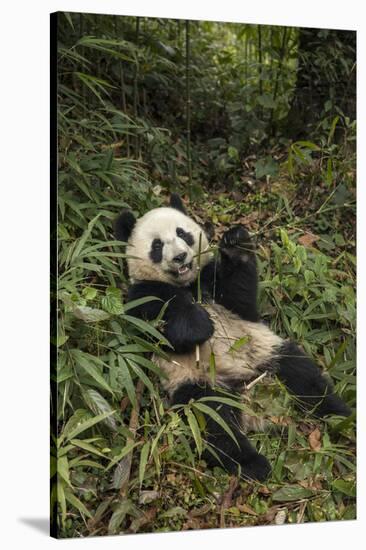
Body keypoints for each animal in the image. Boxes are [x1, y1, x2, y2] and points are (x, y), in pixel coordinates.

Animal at [114, 195, 352, 484]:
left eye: (182, 233)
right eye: (157, 245)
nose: (180, 257)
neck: (187, 284)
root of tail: (253, 402)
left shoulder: (214, 282)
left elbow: (240, 296)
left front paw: (236, 242)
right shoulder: (141, 296)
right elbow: (159, 328)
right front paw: (200, 324)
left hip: (267, 353)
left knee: (304, 378)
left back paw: (341, 418)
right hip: (197, 383)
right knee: (215, 424)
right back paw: (254, 464)